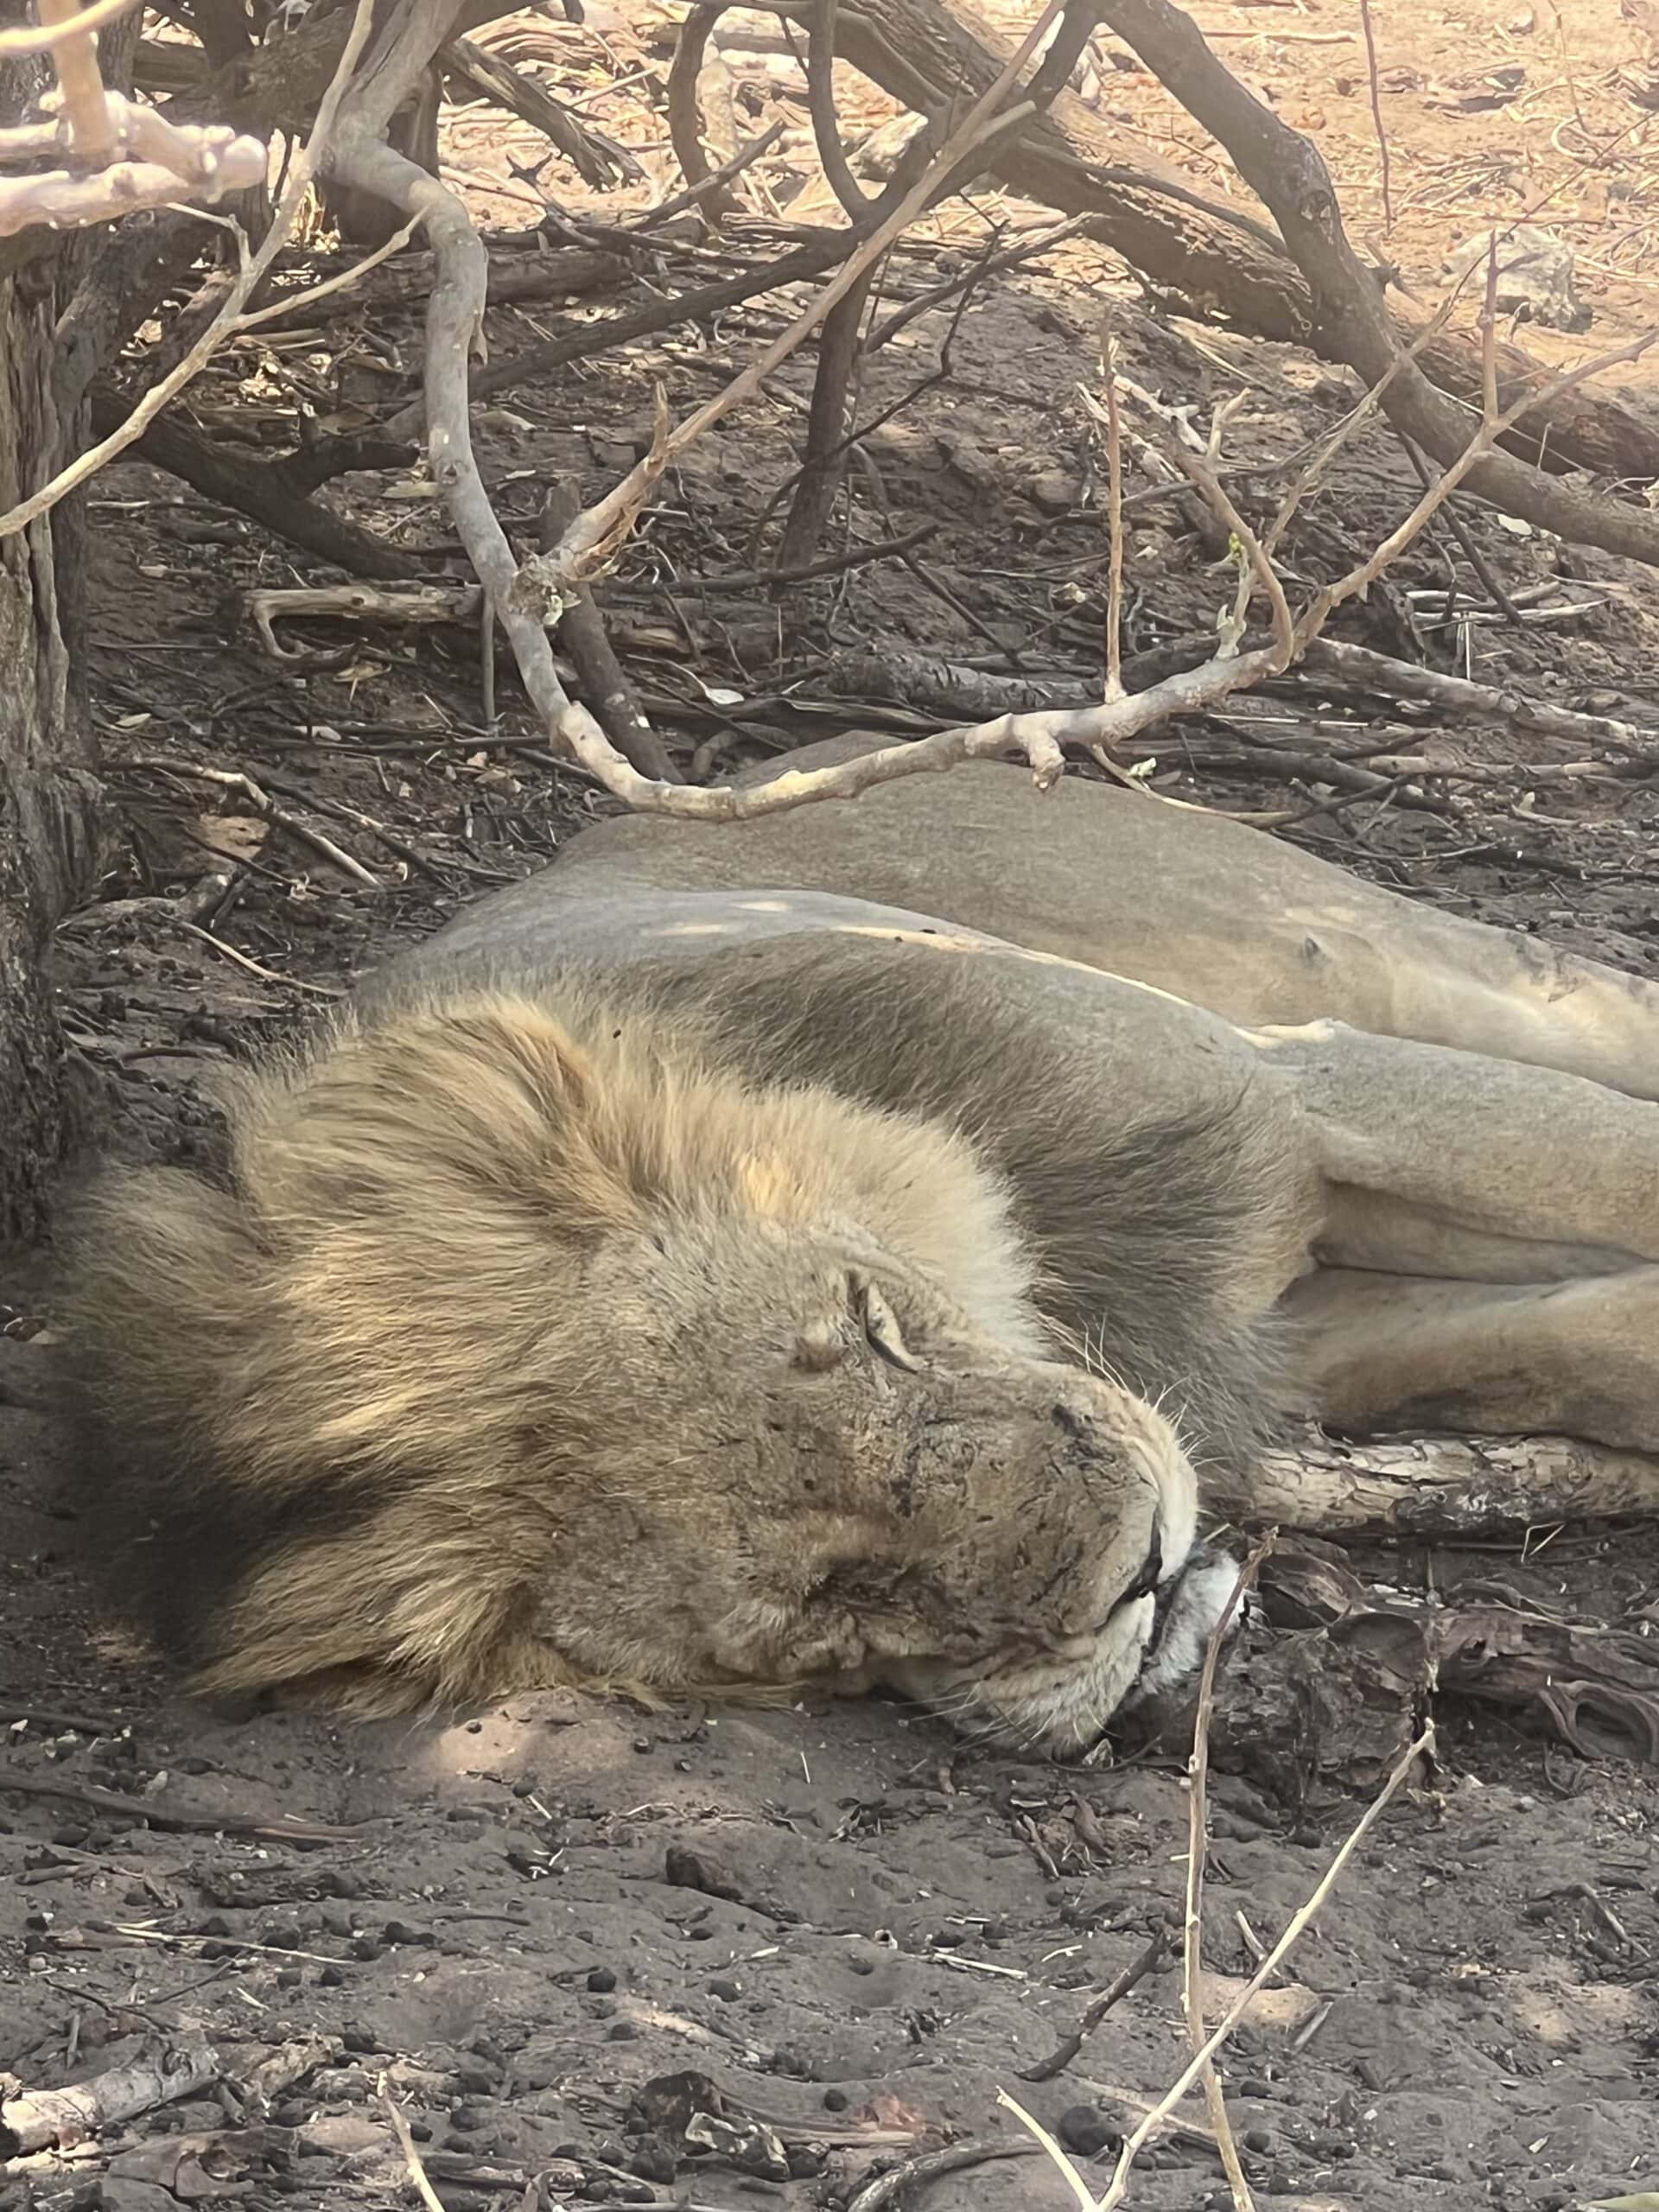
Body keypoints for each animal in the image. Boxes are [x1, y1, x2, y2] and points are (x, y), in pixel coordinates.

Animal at [53, 734, 1659, 1754]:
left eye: (869, 1322)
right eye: (832, 1600)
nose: (1137, 1577)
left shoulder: (1296, 1093)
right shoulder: (1285, 1325)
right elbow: (1591, 1346)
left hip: (1362, 949)